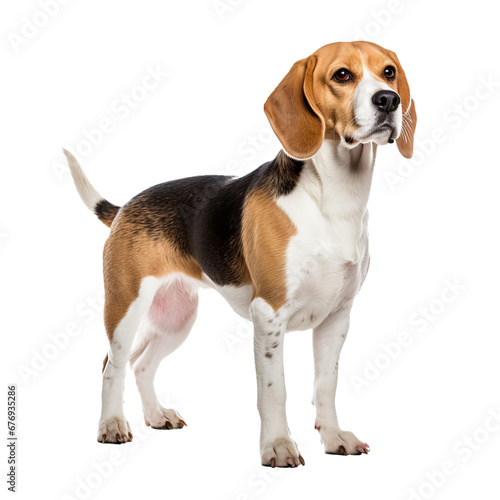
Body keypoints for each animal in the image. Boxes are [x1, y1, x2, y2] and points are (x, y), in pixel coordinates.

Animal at [65, 41, 414, 466]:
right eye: (342, 75)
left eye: (389, 72)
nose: (389, 99)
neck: (334, 198)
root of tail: (125, 206)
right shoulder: (268, 313)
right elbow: (274, 389)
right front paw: (277, 446)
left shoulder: (337, 317)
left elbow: (325, 385)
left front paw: (333, 438)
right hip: (125, 306)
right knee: (111, 366)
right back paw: (112, 424)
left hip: (177, 316)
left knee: (141, 363)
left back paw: (156, 416)